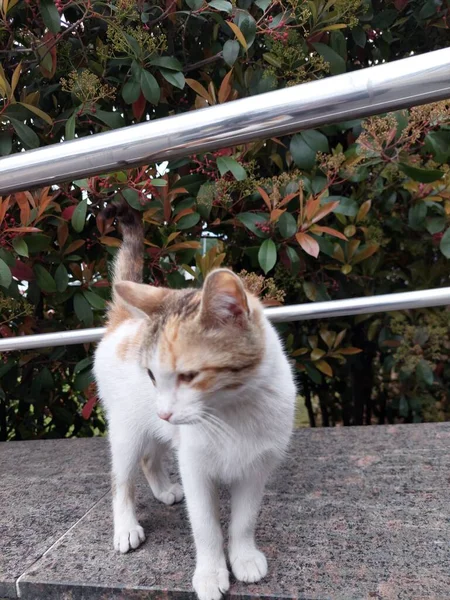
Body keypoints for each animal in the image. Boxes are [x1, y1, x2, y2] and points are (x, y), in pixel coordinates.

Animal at [93, 202, 298, 600]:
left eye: (188, 376)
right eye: (151, 375)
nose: (164, 411)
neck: (233, 411)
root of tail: (122, 322)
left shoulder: (257, 466)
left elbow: (244, 519)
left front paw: (243, 556)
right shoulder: (195, 465)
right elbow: (205, 526)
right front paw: (210, 572)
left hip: (157, 427)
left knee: (150, 455)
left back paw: (162, 489)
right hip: (128, 428)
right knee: (122, 476)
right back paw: (125, 526)